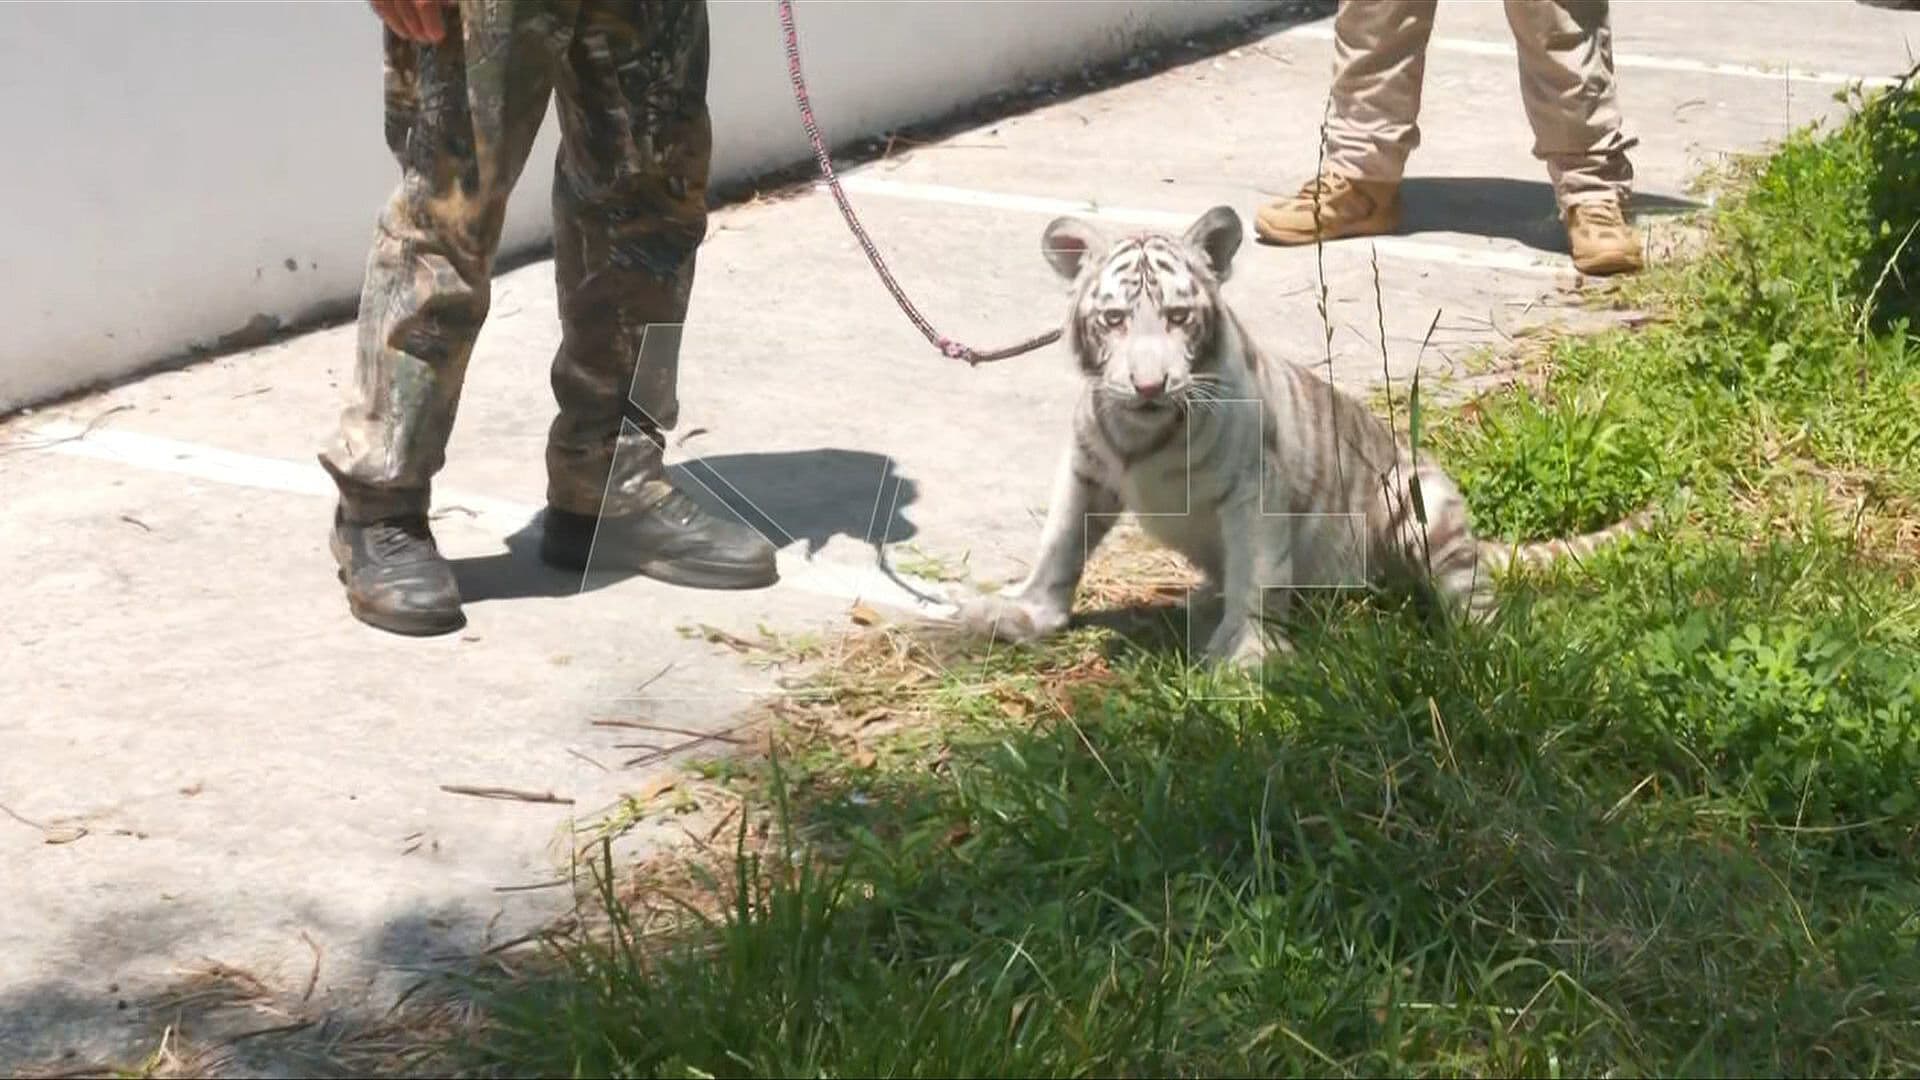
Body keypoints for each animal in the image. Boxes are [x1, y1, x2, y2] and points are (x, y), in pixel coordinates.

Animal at [956, 204, 1655, 667]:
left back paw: (1487, 646)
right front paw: (1026, 613)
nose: (1150, 385)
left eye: (1179, 317)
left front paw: (1247, 659)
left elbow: (1258, 576)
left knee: (1470, 592)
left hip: (1415, 500)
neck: (1142, 431)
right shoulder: (1088, 469)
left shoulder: (1254, 485)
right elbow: (1060, 544)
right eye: (1114, 320)